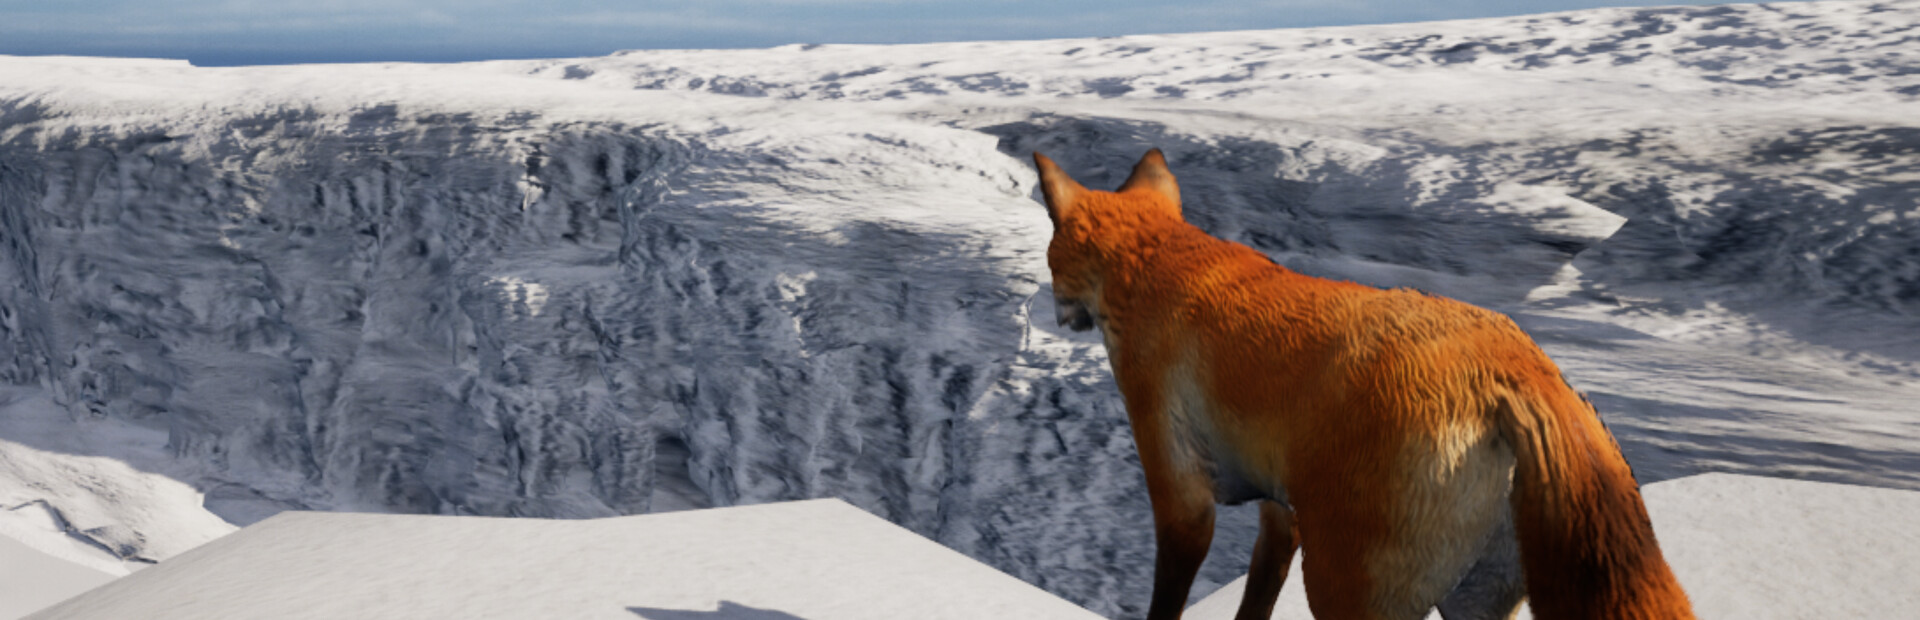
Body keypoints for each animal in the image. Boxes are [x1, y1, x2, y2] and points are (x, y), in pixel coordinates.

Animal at [1032, 149, 1694, 620]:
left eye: (1048, 255)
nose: (1047, 309)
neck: (1158, 261)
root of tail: (1521, 367)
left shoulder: (1182, 501)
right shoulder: (1282, 512)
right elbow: (1255, 604)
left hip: (1347, 591)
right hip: (1470, 597)